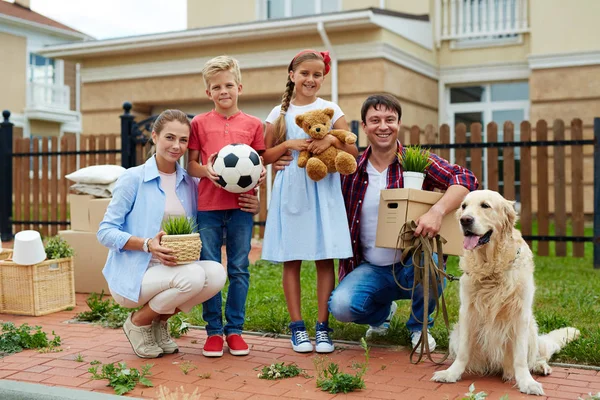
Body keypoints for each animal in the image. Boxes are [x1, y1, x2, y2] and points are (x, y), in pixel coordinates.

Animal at [434, 190, 580, 394]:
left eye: (485, 206)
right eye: (463, 206)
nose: (465, 220)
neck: (491, 267)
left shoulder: (520, 315)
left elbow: (520, 358)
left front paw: (527, 382)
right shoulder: (467, 312)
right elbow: (463, 352)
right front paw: (451, 374)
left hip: (531, 329)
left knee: (535, 356)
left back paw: (539, 366)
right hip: (455, 333)